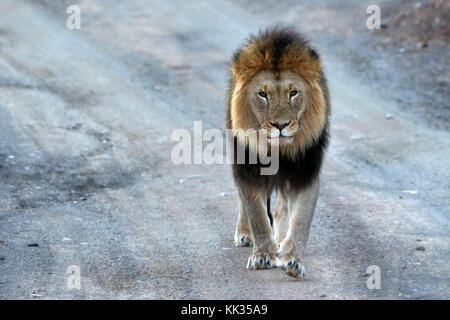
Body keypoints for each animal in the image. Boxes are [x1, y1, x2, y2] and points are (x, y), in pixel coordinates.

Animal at [227, 26, 328, 278]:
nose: (280, 125)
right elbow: (256, 215)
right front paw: (263, 256)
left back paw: (281, 240)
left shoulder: (305, 172)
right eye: (263, 95)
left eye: (293, 93)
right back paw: (245, 234)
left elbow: (301, 220)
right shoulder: (248, 169)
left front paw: (292, 260)